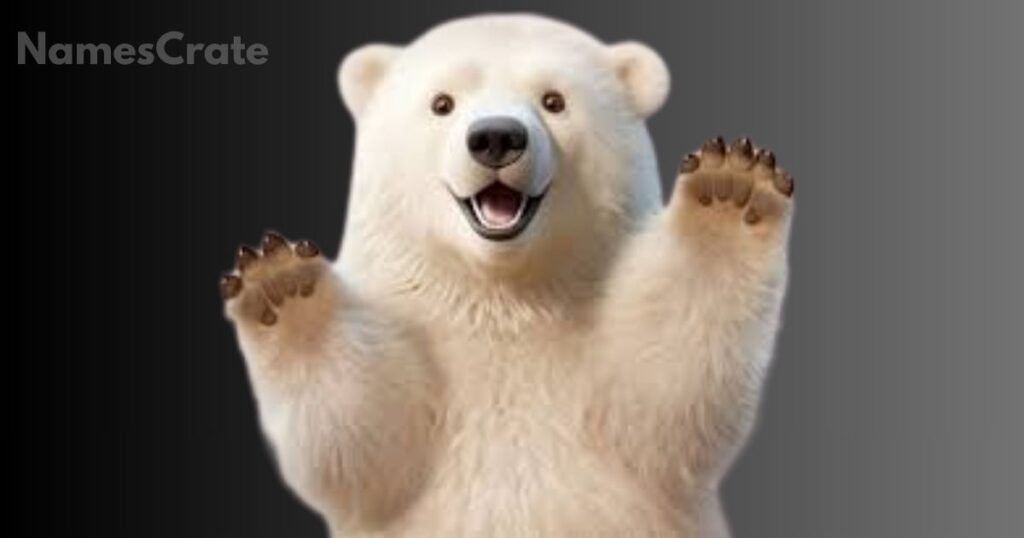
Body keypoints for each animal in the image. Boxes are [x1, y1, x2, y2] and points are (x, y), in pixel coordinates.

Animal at [221, 13, 794, 538]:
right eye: (442, 103)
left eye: (554, 101)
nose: (496, 137)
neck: (504, 295)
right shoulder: (412, 330)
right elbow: (361, 440)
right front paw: (281, 286)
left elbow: (664, 396)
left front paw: (731, 194)